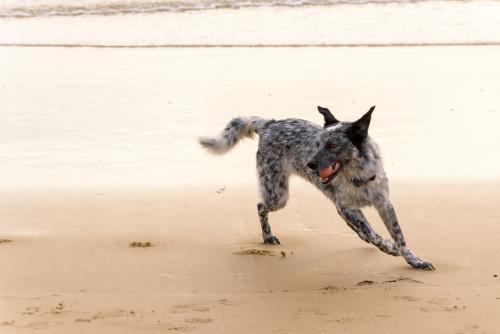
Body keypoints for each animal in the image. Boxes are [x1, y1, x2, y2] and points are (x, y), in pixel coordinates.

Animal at [199, 107, 434, 272]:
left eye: (332, 145)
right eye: (317, 143)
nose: (310, 163)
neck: (358, 176)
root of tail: (270, 124)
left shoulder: (384, 203)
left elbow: (398, 237)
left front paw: (414, 260)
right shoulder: (345, 207)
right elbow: (374, 234)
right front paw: (388, 246)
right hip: (278, 194)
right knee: (260, 205)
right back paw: (267, 236)